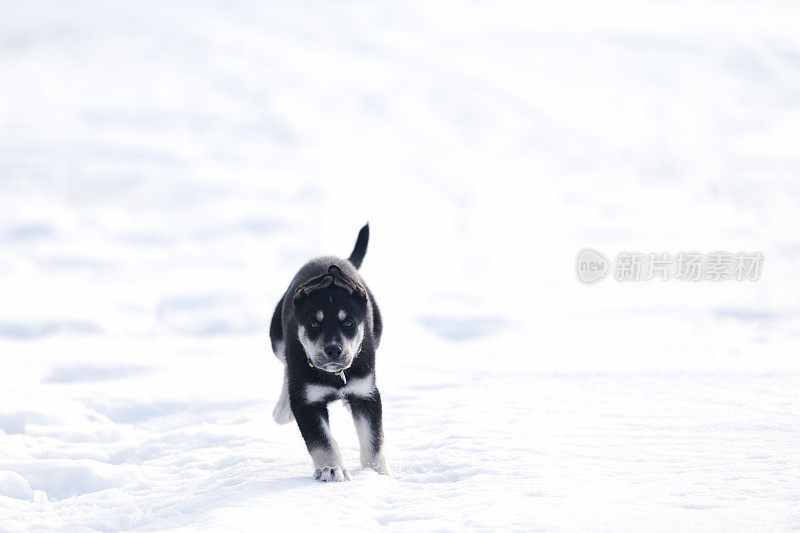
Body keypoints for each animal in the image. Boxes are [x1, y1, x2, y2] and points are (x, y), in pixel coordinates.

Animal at [270, 222, 390, 480]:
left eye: (349, 323)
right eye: (314, 324)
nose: (333, 350)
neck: (335, 376)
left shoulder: (367, 394)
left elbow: (374, 440)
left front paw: (378, 475)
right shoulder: (306, 401)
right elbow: (321, 440)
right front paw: (331, 469)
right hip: (276, 339)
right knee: (285, 365)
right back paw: (282, 409)